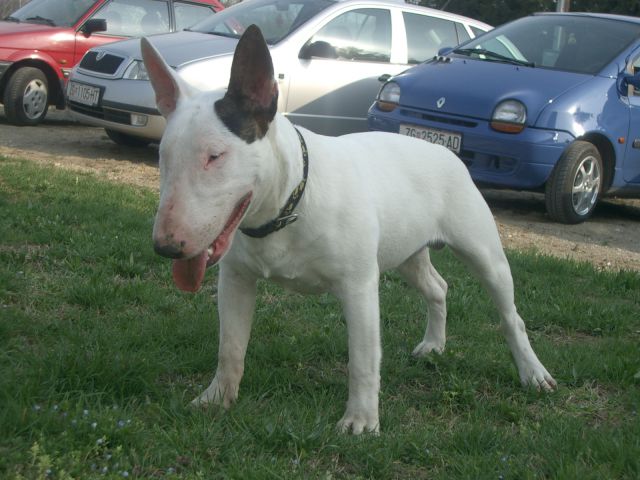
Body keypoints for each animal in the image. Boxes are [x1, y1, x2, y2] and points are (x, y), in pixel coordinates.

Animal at [144, 26, 556, 436]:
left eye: (215, 156)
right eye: (164, 155)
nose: (166, 247)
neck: (289, 202)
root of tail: (443, 151)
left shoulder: (359, 286)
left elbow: (363, 359)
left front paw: (361, 421)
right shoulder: (236, 279)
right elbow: (230, 346)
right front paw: (215, 399)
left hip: (483, 253)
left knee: (510, 315)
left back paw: (533, 373)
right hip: (407, 251)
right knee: (438, 288)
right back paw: (433, 345)